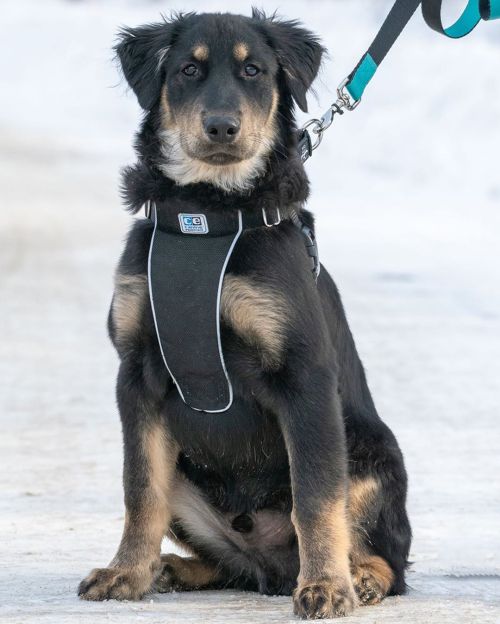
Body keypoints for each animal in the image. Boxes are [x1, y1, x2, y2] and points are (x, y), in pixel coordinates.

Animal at [78, 9, 410, 620]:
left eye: (253, 70)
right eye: (188, 70)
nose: (221, 127)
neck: (205, 214)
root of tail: (272, 568)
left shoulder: (304, 377)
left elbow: (315, 496)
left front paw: (327, 586)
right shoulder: (135, 374)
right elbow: (140, 490)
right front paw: (125, 573)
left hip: (370, 454)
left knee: (389, 561)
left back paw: (358, 577)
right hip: (192, 479)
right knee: (231, 563)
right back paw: (171, 568)